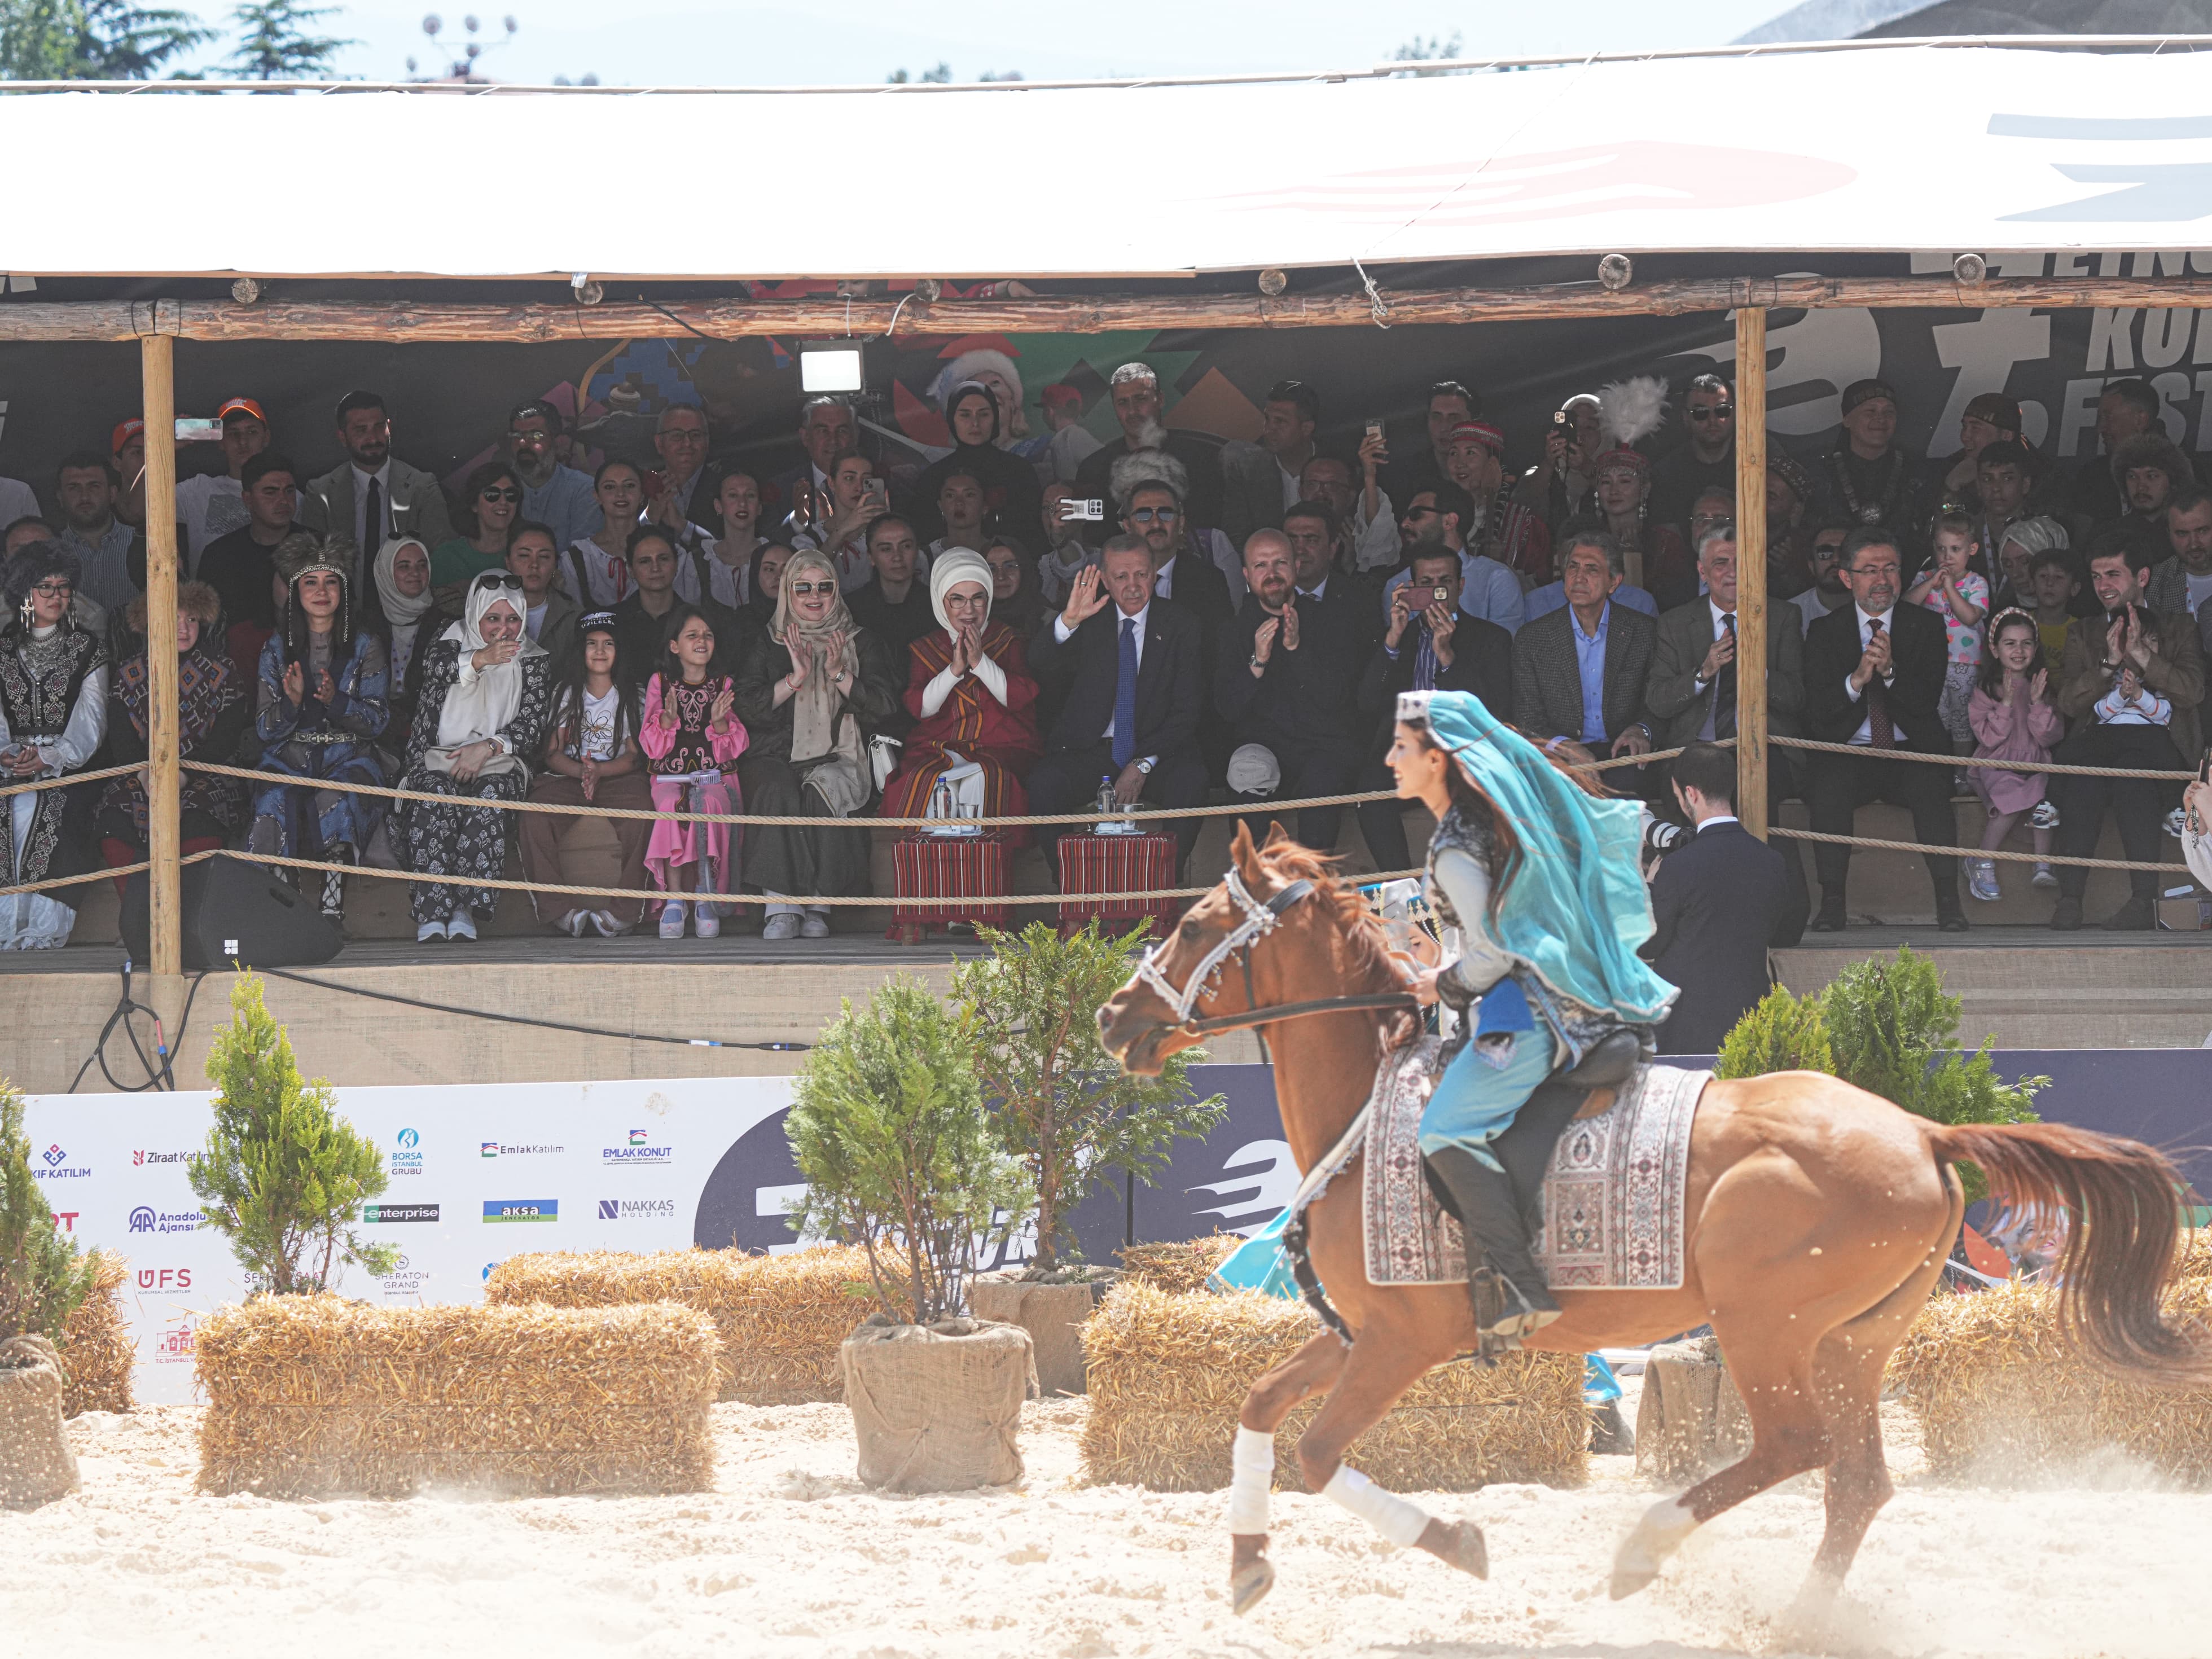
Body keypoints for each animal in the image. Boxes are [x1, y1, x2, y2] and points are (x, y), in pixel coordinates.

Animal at [1098, 823, 2207, 1616]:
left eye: (1190, 928)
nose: (1114, 1018)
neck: (1375, 1108)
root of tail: (1924, 1132)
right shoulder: (1363, 1331)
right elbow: (1256, 1406)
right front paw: (1247, 1563)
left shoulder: (1403, 1338)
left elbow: (1320, 1454)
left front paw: (1457, 1543)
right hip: (1854, 1344)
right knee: (1857, 1484)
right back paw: (1799, 1623)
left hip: (1766, 1328)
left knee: (1796, 1449)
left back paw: (1643, 1551)